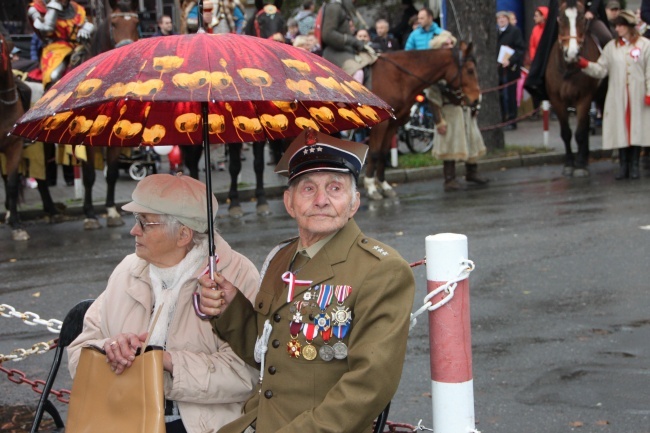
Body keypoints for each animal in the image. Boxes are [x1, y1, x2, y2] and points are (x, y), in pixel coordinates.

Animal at [78, 0, 140, 230]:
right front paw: (89, 214)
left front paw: (112, 210)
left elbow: (112, 173)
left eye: (136, 23)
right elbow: (88, 175)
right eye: (113, 24)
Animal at [364, 42, 480, 199]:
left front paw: (384, 185)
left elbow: (382, 153)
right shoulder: (381, 125)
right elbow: (375, 152)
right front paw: (371, 187)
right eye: (470, 70)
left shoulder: (392, 124)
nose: (476, 99)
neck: (398, 76)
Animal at [544, 0, 604, 177]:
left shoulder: (584, 98)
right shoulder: (556, 100)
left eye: (582, 18)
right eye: (561, 18)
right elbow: (566, 133)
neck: (569, 67)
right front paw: (569, 164)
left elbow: (580, 133)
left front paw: (579, 165)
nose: (572, 54)